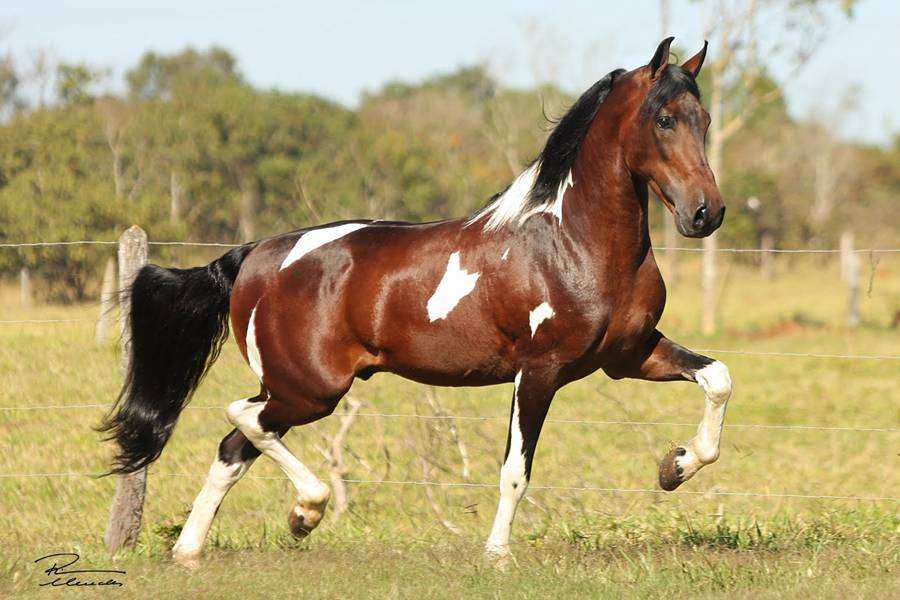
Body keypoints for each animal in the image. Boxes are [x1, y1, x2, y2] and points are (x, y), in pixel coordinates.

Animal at [102, 38, 732, 568]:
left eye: (703, 120)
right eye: (664, 119)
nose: (706, 213)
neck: (574, 242)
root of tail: (254, 255)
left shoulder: (628, 356)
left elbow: (718, 378)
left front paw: (675, 467)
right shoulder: (540, 371)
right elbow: (515, 471)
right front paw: (496, 556)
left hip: (296, 388)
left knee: (233, 445)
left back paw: (193, 551)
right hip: (310, 388)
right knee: (243, 419)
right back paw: (305, 511)